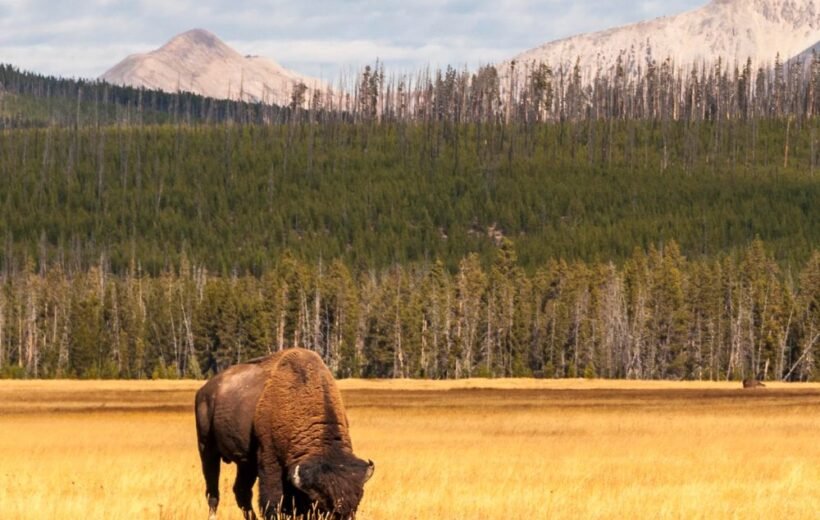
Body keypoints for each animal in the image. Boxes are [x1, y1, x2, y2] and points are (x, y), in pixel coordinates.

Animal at [195, 350, 374, 520]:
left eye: (358, 500)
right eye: (320, 503)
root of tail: (204, 391)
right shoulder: (269, 460)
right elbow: (272, 501)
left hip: (245, 463)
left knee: (241, 492)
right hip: (207, 450)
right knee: (213, 491)